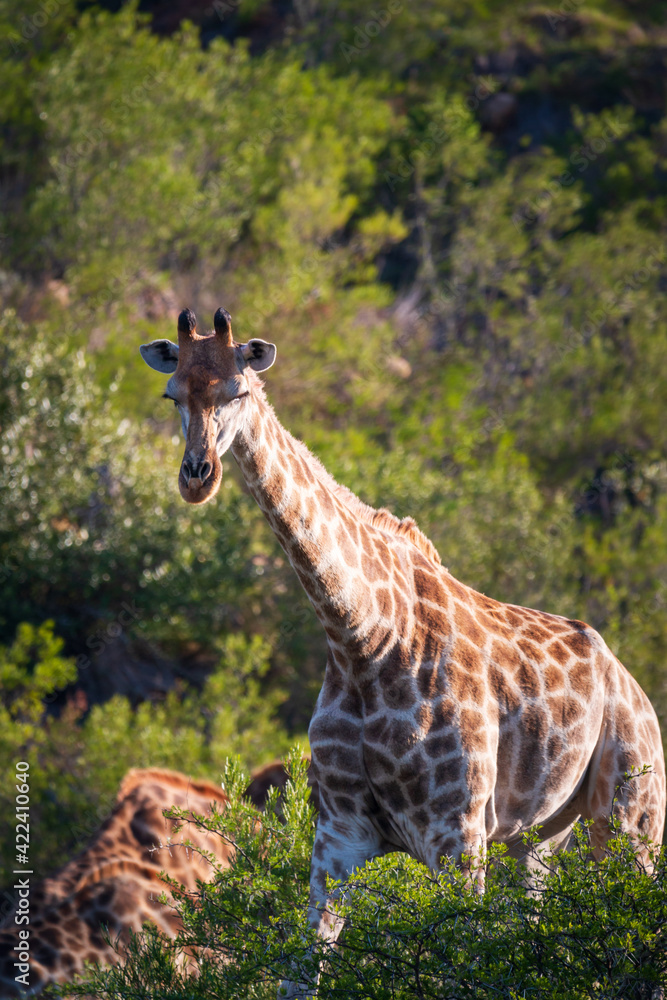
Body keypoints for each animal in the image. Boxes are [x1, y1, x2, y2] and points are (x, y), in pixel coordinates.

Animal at [140, 307, 666, 998]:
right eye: (173, 395)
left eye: (239, 392)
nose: (196, 477)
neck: (361, 638)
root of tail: (636, 690)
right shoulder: (339, 837)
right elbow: (300, 974)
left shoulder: (456, 837)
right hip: (537, 839)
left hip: (632, 825)